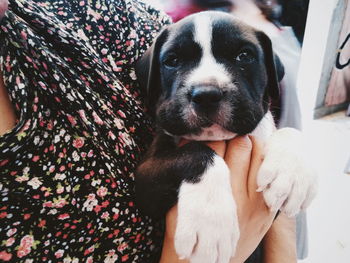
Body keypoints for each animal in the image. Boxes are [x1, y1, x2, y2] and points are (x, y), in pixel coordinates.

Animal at [135, 10, 316, 263]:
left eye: (244, 56)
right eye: (172, 61)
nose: (206, 94)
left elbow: (289, 131)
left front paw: (292, 175)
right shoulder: (144, 181)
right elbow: (198, 152)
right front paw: (209, 222)